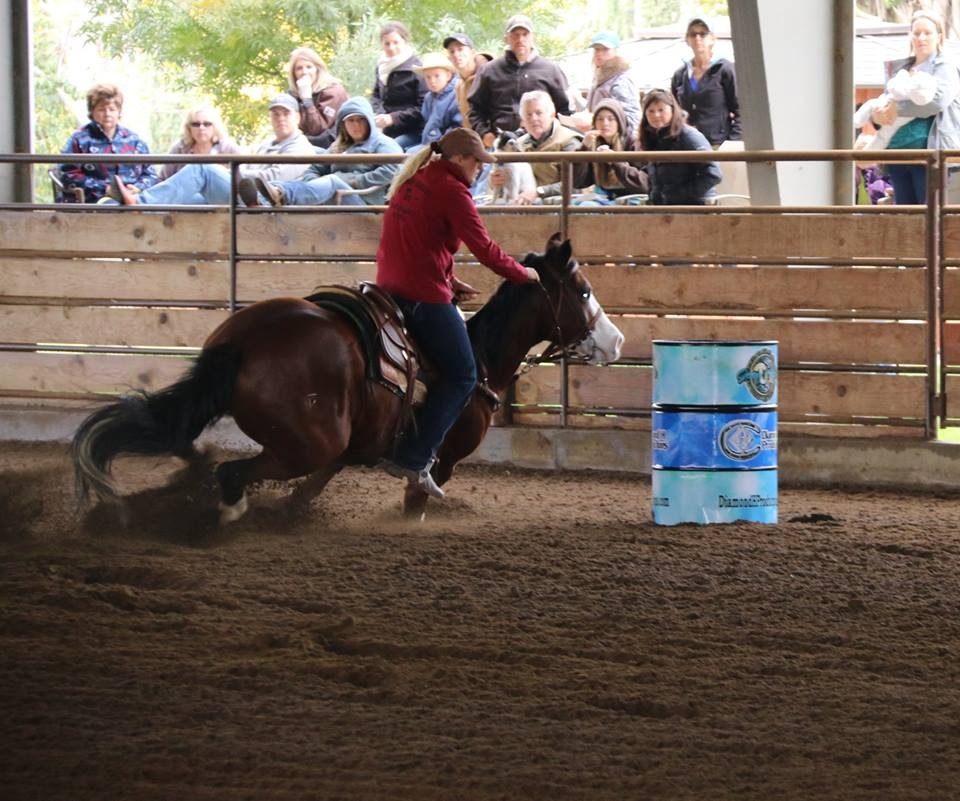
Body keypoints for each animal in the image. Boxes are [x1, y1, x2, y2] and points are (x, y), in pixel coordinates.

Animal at [71, 234, 624, 523]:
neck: (481, 357)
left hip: (302, 438)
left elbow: (316, 486)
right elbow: (415, 496)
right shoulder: (438, 461)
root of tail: (246, 339)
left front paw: (295, 509)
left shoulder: (356, 447)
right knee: (230, 473)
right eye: (582, 290)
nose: (616, 341)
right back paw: (226, 515)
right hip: (307, 442)